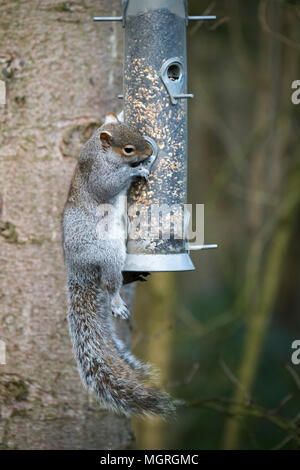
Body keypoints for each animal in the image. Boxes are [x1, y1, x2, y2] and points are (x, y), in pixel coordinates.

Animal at [62, 113, 175, 414]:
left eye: (136, 132)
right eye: (128, 149)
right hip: (108, 252)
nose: (148, 152)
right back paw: (115, 302)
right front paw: (136, 172)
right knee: (109, 283)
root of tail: (78, 270)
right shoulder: (97, 176)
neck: (98, 150)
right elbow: (109, 185)